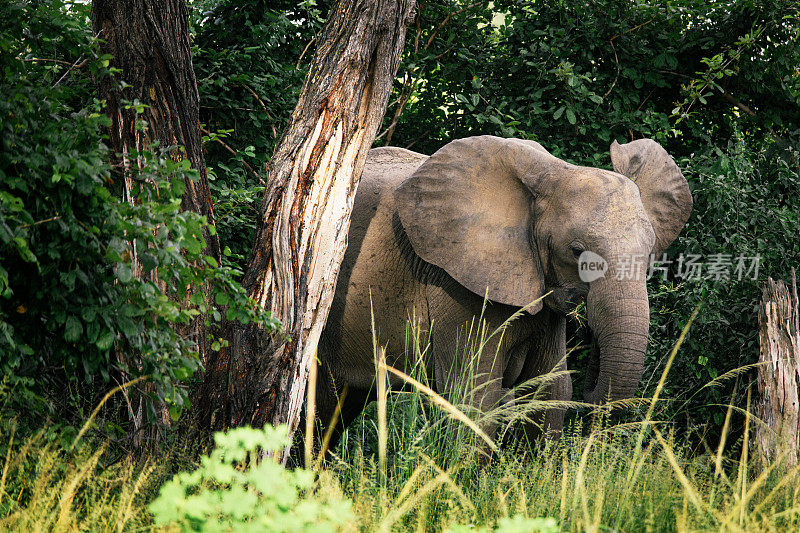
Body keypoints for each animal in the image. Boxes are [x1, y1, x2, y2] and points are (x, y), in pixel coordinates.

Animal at [312, 133, 692, 444]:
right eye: (575, 251)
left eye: (650, 252)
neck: (555, 173)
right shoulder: (455, 285)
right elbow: (475, 395)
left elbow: (550, 392)